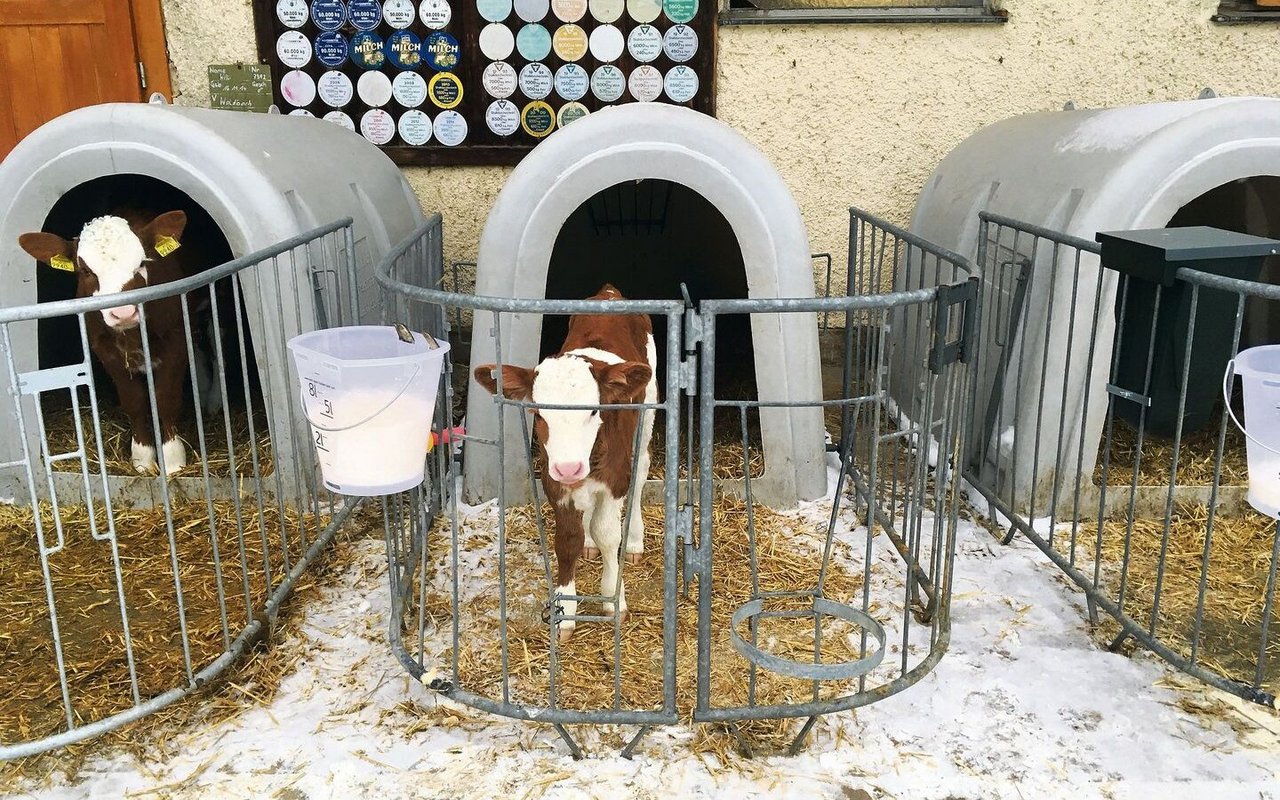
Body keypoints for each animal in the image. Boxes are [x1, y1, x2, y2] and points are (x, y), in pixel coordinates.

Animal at [18, 208, 220, 476]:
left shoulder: (174, 339)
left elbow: (165, 398)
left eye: (142, 263)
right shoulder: (106, 351)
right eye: (85, 271)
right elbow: (134, 401)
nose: (123, 313)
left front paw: (173, 461)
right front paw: (143, 458)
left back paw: (214, 399)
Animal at [478, 284, 660, 640]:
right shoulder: (553, 480)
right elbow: (567, 539)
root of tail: (609, 293)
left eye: (593, 410)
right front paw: (565, 611)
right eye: (539, 413)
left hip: (648, 410)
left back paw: (634, 540)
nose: (569, 467)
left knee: (642, 471)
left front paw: (613, 599)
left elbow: (608, 533)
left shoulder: (615, 477)